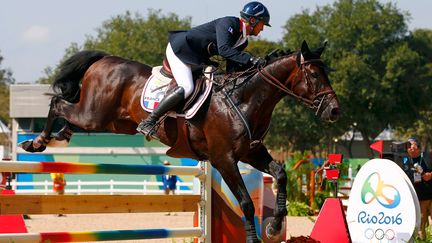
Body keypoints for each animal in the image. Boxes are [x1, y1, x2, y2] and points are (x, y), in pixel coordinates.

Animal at [20, 40, 340, 242]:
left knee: (69, 115)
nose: (335, 111)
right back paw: (36, 142)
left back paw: (60, 135)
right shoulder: (224, 160)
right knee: (59, 104)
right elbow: (247, 203)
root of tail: (104, 60)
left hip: (112, 122)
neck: (244, 98)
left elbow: (280, 173)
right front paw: (256, 237)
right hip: (94, 115)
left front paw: (274, 226)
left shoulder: (252, 152)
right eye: (314, 75)